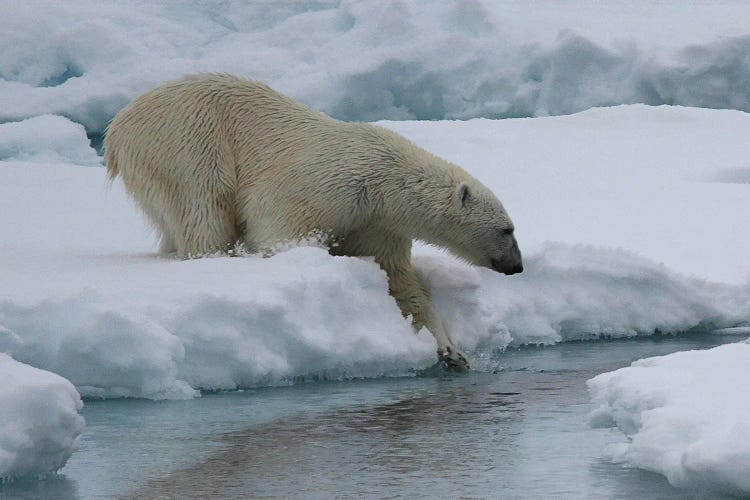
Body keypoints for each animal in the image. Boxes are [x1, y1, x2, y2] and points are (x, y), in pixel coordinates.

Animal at [104, 74, 524, 372]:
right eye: (508, 229)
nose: (517, 266)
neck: (385, 184)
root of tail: (118, 126)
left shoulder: (376, 225)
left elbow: (400, 281)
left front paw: (452, 351)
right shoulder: (327, 187)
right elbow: (277, 226)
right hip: (187, 137)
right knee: (204, 205)